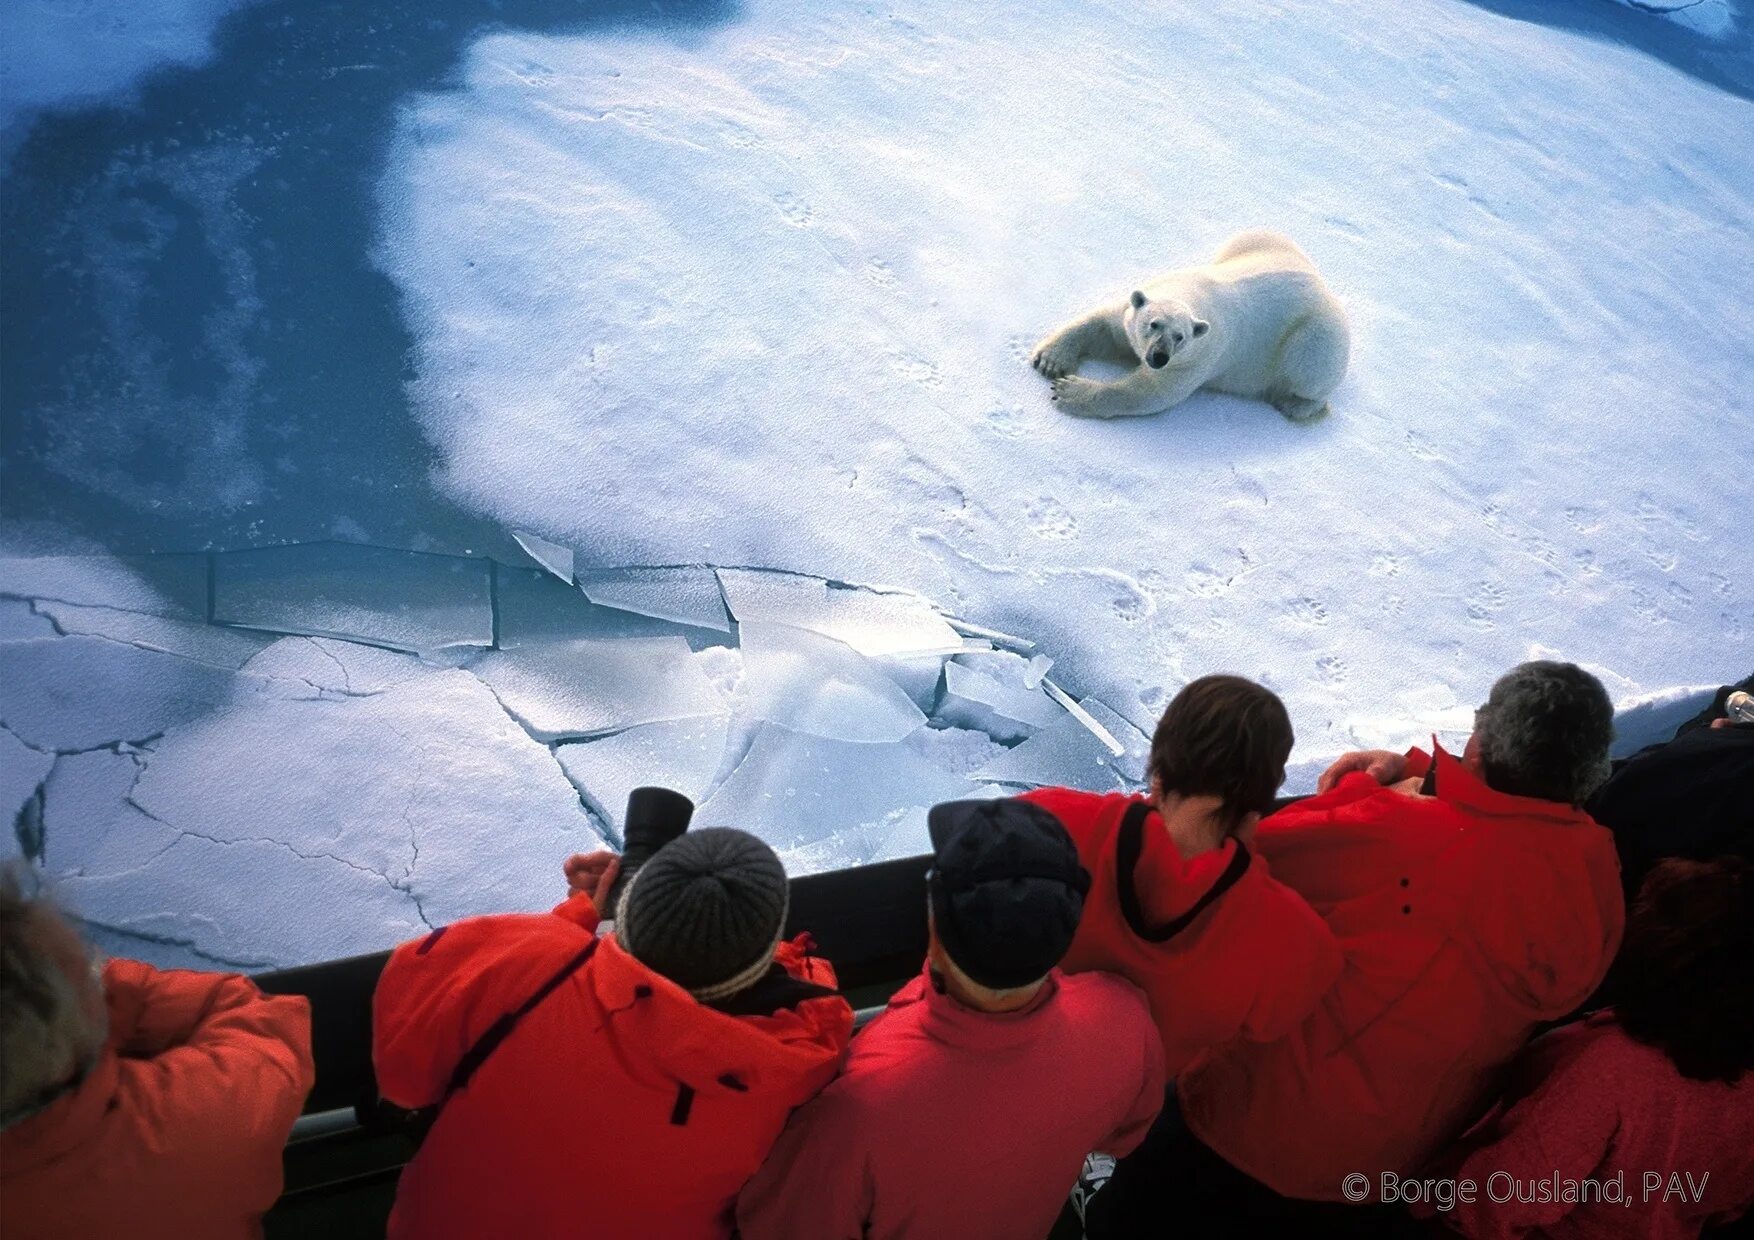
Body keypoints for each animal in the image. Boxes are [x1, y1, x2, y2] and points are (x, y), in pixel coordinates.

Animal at [1031, 229, 1347, 424]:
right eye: (1153, 324)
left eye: (1180, 337)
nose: (1158, 357)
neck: (1193, 294)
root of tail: (1324, 287)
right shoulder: (1133, 312)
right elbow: (1105, 329)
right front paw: (1051, 360)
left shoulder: (1198, 358)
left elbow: (1150, 392)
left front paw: (1068, 390)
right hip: (1262, 242)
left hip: (1316, 339)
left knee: (1310, 372)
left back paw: (1294, 404)